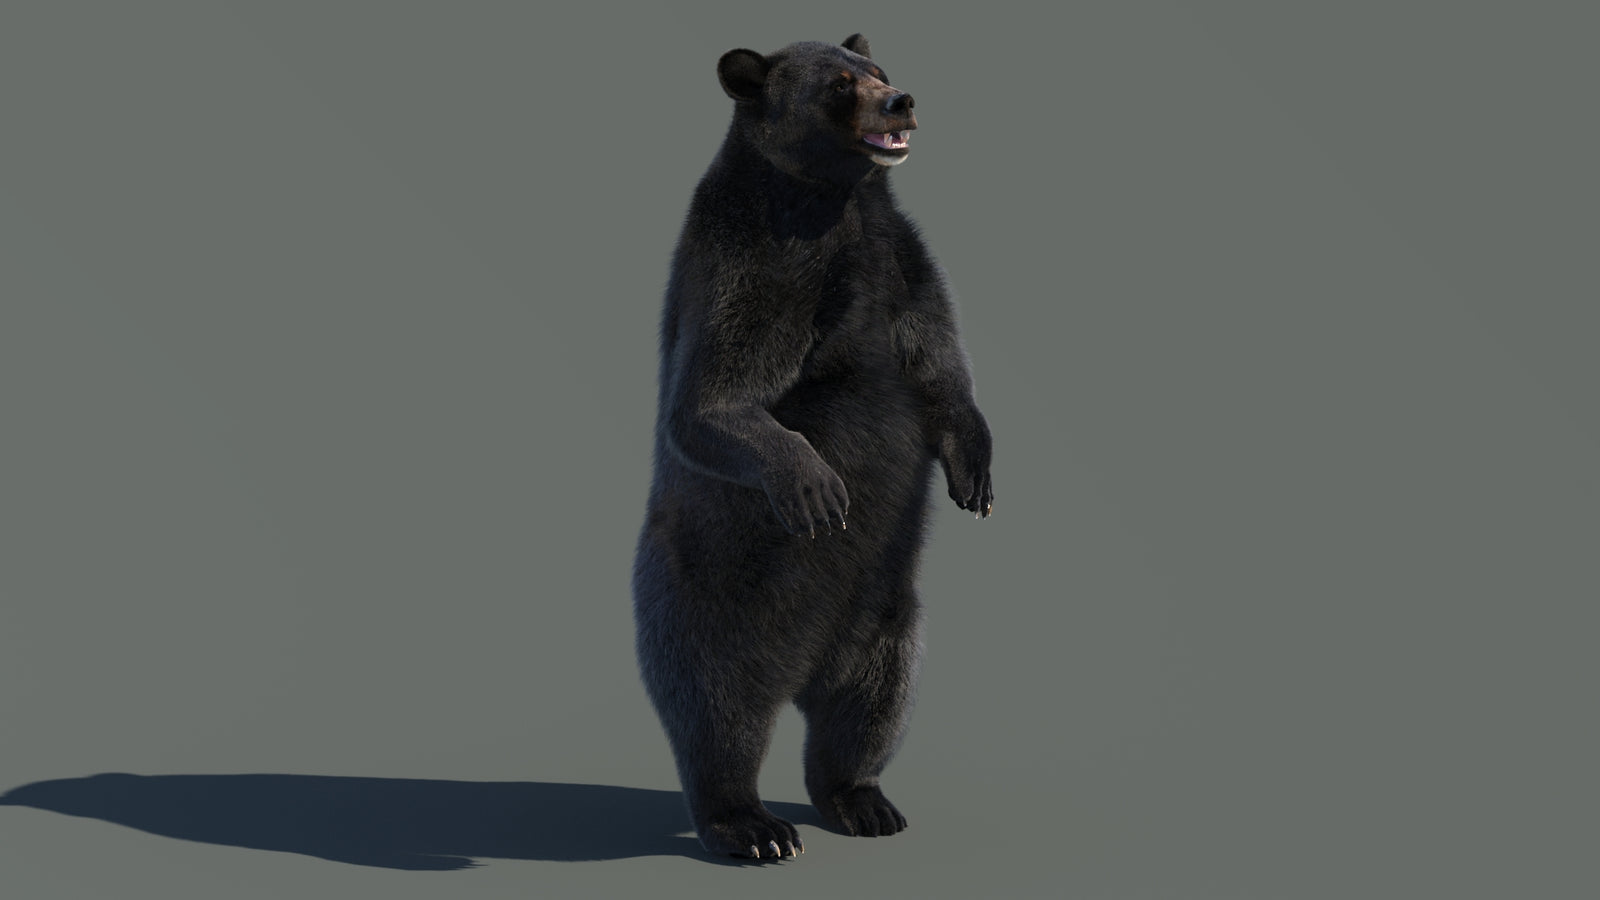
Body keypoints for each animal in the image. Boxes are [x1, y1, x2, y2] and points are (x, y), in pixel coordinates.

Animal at [632, 33, 994, 861]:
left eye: (879, 70)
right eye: (838, 85)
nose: (902, 101)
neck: (833, 203)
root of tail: (799, 669)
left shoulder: (900, 262)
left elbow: (941, 368)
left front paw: (976, 476)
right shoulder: (755, 264)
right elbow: (712, 401)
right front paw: (818, 488)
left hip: (887, 616)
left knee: (870, 703)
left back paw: (863, 800)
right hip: (707, 599)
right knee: (716, 708)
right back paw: (752, 826)